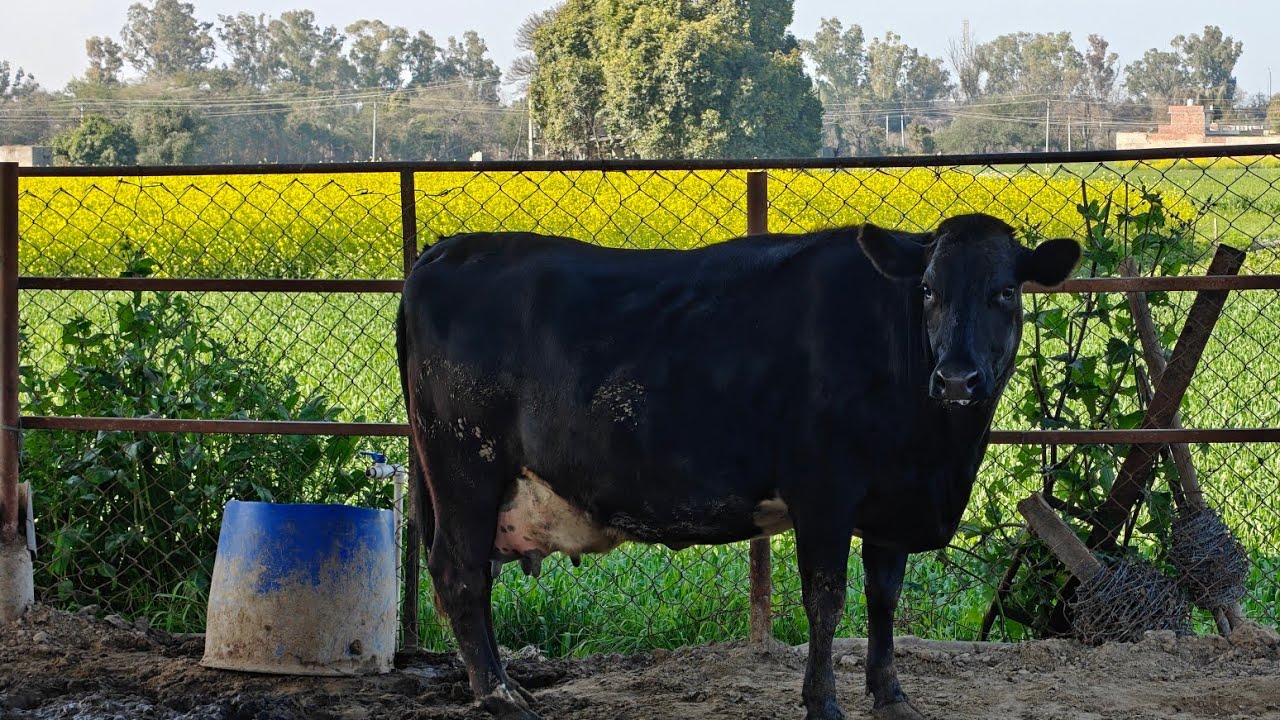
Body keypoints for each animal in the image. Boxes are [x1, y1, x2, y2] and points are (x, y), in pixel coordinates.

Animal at [396, 212, 1080, 719]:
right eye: (929, 290)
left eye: (1005, 291)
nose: (957, 379)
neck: (937, 455)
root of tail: (445, 251)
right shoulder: (823, 493)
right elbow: (826, 600)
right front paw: (822, 702)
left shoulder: (891, 502)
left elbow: (883, 597)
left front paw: (891, 696)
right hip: (465, 468)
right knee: (460, 574)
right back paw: (500, 695)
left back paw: (511, 685)